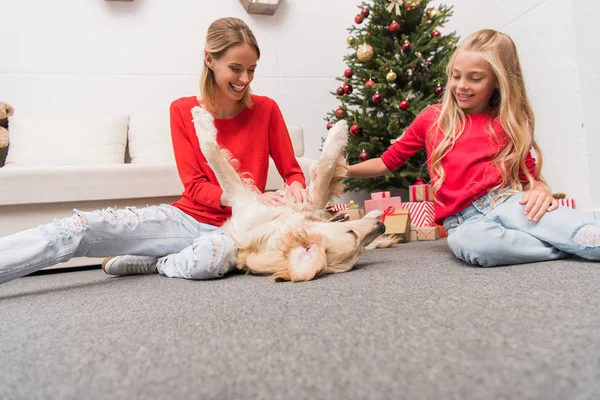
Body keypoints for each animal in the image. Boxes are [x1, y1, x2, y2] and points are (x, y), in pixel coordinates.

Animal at [195, 106, 386, 282]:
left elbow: (326, 171)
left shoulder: (241, 196)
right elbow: (324, 175)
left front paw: (338, 133)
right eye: (352, 234)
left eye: (359, 248)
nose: (382, 226)